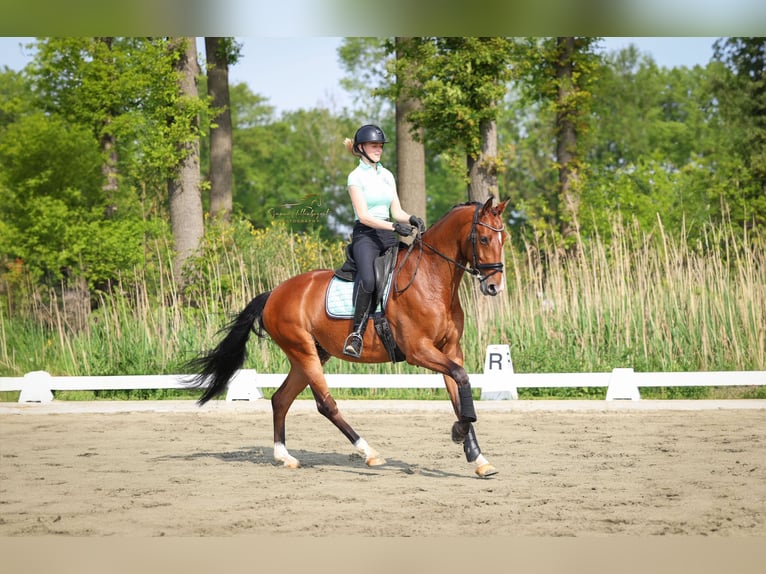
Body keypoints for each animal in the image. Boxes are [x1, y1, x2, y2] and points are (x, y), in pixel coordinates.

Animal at [187, 198, 510, 476]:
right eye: (483, 239)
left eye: (503, 239)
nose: (494, 287)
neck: (432, 279)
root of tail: (273, 294)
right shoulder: (419, 351)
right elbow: (461, 379)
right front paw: (459, 432)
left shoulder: (450, 350)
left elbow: (459, 391)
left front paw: (478, 458)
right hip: (303, 351)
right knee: (325, 404)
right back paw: (369, 452)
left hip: (312, 355)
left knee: (281, 399)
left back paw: (284, 456)